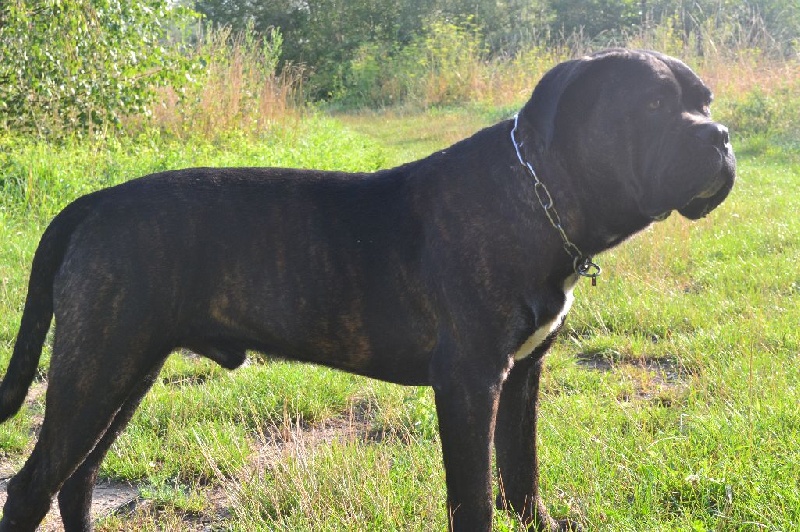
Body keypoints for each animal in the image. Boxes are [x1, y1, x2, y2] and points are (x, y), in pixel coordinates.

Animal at [0, 49, 735, 531]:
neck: (538, 194)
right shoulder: (471, 382)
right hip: (97, 368)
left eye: (705, 102)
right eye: (649, 105)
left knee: (77, 480)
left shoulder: (522, 376)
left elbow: (521, 478)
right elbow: (475, 496)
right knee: (34, 486)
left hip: (127, 370)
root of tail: (93, 203)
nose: (722, 137)